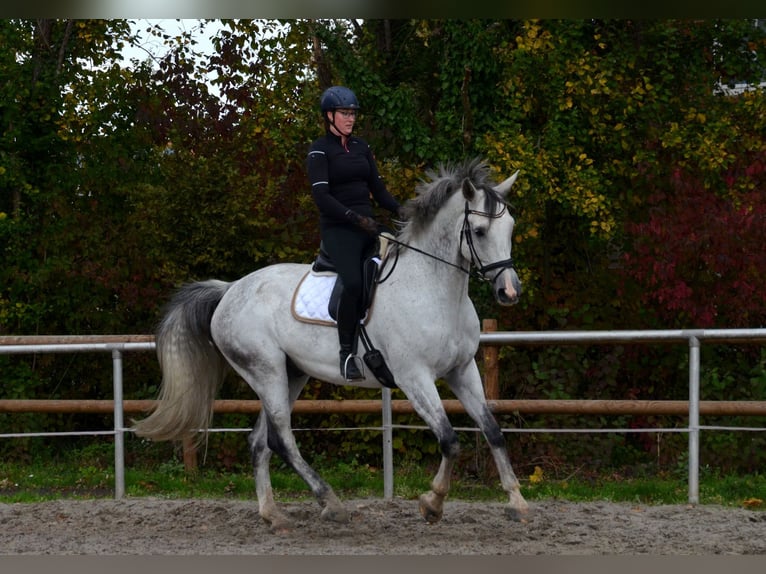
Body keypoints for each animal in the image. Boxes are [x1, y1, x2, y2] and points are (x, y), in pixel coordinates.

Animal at [133, 157, 529, 530]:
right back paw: (331, 503)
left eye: (510, 227)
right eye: (478, 231)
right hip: (266, 371)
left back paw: (273, 514)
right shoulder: (414, 377)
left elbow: (493, 431)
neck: (434, 290)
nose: (509, 292)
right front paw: (432, 503)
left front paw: (517, 501)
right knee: (281, 439)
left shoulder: (462, 370)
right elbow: (449, 440)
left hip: (291, 374)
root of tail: (230, 289)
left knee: (260, 442)